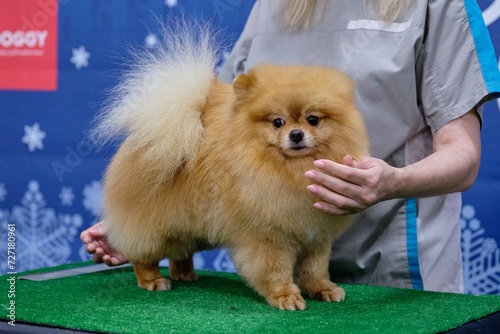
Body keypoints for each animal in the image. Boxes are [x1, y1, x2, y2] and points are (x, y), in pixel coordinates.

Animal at [94, 25, 368, 310]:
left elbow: (315, 268)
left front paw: (323, 289)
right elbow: (275, 268)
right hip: (156, 225)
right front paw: (285, 296)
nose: (295, 134)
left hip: (189, 225)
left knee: (180, 252)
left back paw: (185, 273)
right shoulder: (268, 236)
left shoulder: (317, 236)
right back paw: (153, 280)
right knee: (142, 254)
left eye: (313, 119)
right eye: (277, 122)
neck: (288, 171)